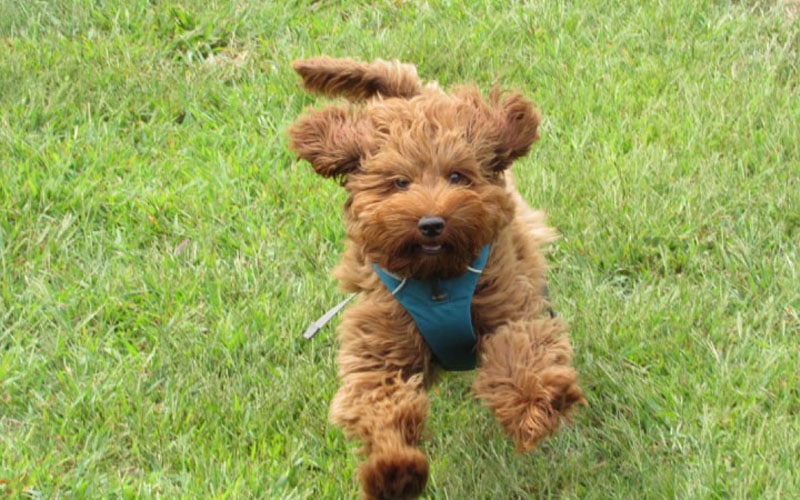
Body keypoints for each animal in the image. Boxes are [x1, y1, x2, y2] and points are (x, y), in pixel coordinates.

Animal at [290, 56, 588, 498]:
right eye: (399, 183)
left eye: (457, 176)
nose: (431, 223)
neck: (436, 282)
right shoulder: (381, 342)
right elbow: (380, 403)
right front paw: (395, 472)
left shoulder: (506, 304)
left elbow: (518, 353)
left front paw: (538, 407)